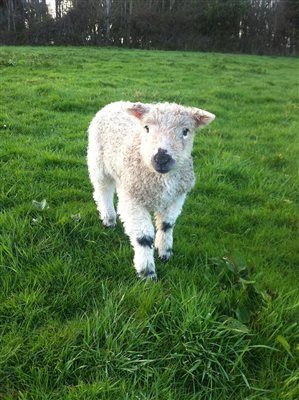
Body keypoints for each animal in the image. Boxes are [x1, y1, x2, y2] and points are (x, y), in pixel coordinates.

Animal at [86, 101, 216, 282]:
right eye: (146, 128)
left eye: (185, 131)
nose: (162, 158)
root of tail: (115, 103)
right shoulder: (133, 200)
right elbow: (143, 238)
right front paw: (147, 273)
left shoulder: (176, 197)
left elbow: (167, 225)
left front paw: (165, 253)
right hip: (98, 162)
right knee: (103, 191)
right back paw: (108, 218)